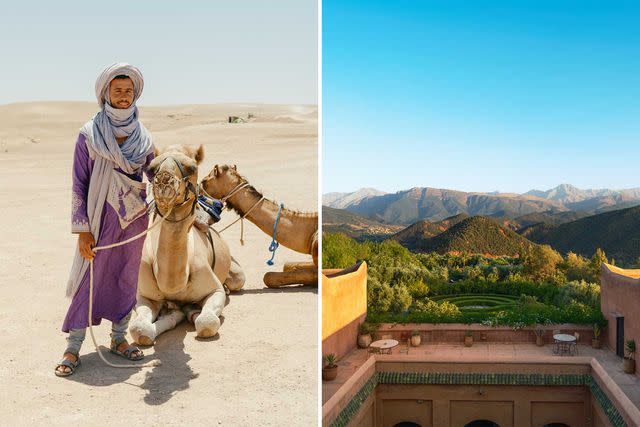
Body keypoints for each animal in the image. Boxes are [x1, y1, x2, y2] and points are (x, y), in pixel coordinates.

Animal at [129, 145, 244, 346]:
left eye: (192, 167)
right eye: (151, 168)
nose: (164, 180)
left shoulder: (214, 290)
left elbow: (207, 322)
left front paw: (189, 311)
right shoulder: (144, 295)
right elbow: (139, 329)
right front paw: (170, 314)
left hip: (236, 273)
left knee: (237, 279)